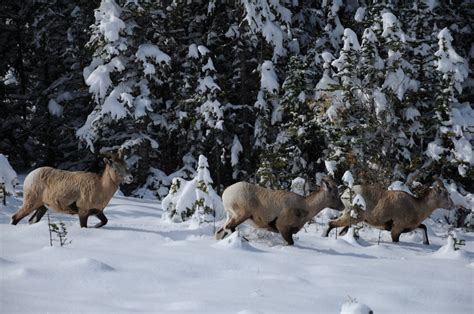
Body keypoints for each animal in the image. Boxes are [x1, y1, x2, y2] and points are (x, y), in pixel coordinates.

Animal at [216, 179, 344, 245]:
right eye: (334, 195)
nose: (342, 207)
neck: (305, 206)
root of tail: (226, 193)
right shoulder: (283, 227)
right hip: (241, 215)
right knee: (229, 228)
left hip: (231, 216)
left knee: (220, 232)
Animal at [324, 179, 454, 245]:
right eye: (445, 194)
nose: (453, 205)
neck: (417, 207)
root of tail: (346, 193)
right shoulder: (396, 230)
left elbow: (424, 227)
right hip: (354, 217)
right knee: (331, 224)